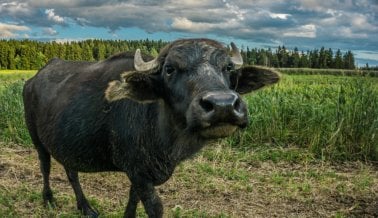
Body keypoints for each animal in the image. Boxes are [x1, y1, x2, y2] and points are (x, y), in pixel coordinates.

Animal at [22, 38, 278, 217]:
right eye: (170, 69)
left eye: (228, 68)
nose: (223, 105)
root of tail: (33, 80)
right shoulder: (139, 172)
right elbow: (155, 207)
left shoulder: (139, 172)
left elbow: (132, 199)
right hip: (36, 138)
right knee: (45, 167)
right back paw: (49, 200)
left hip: (66, 142)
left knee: (71, 172)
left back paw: (85, 207)